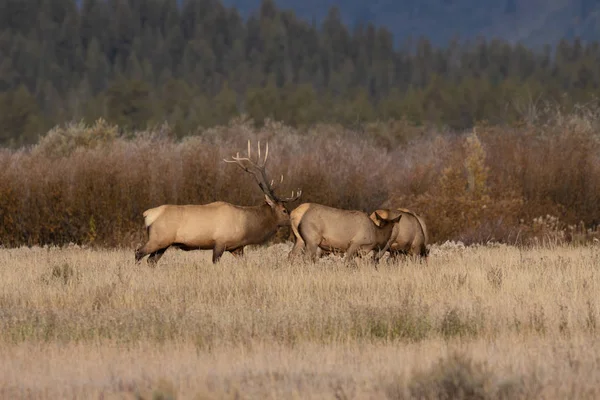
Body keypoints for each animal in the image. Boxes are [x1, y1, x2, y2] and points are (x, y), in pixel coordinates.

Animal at [135, 141, 300, 266]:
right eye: (284, 210)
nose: (293, 219)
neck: (247, 227)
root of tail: (148, 214)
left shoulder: (237, 247)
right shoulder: (220, 242)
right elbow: (215, 262)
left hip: (164, 244)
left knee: (151, 261)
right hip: (158, 238)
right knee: (138, 253)